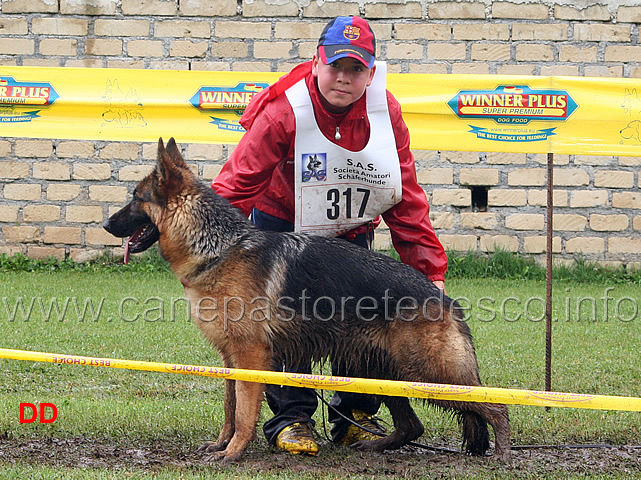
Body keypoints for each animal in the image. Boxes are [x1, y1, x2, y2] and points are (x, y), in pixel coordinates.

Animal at [104, 139, 510, 464]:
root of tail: (445, 299)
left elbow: (245, 411)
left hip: (429, 373)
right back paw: (375, 446)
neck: (221, 249)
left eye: (135, 199)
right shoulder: (230, 358)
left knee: (499, 405)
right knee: (413, 425)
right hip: (387, 372)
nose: (107, 225)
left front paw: (234, 452)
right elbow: (230, 407)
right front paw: (221, 444)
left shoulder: (251, 356)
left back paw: (503, 454)